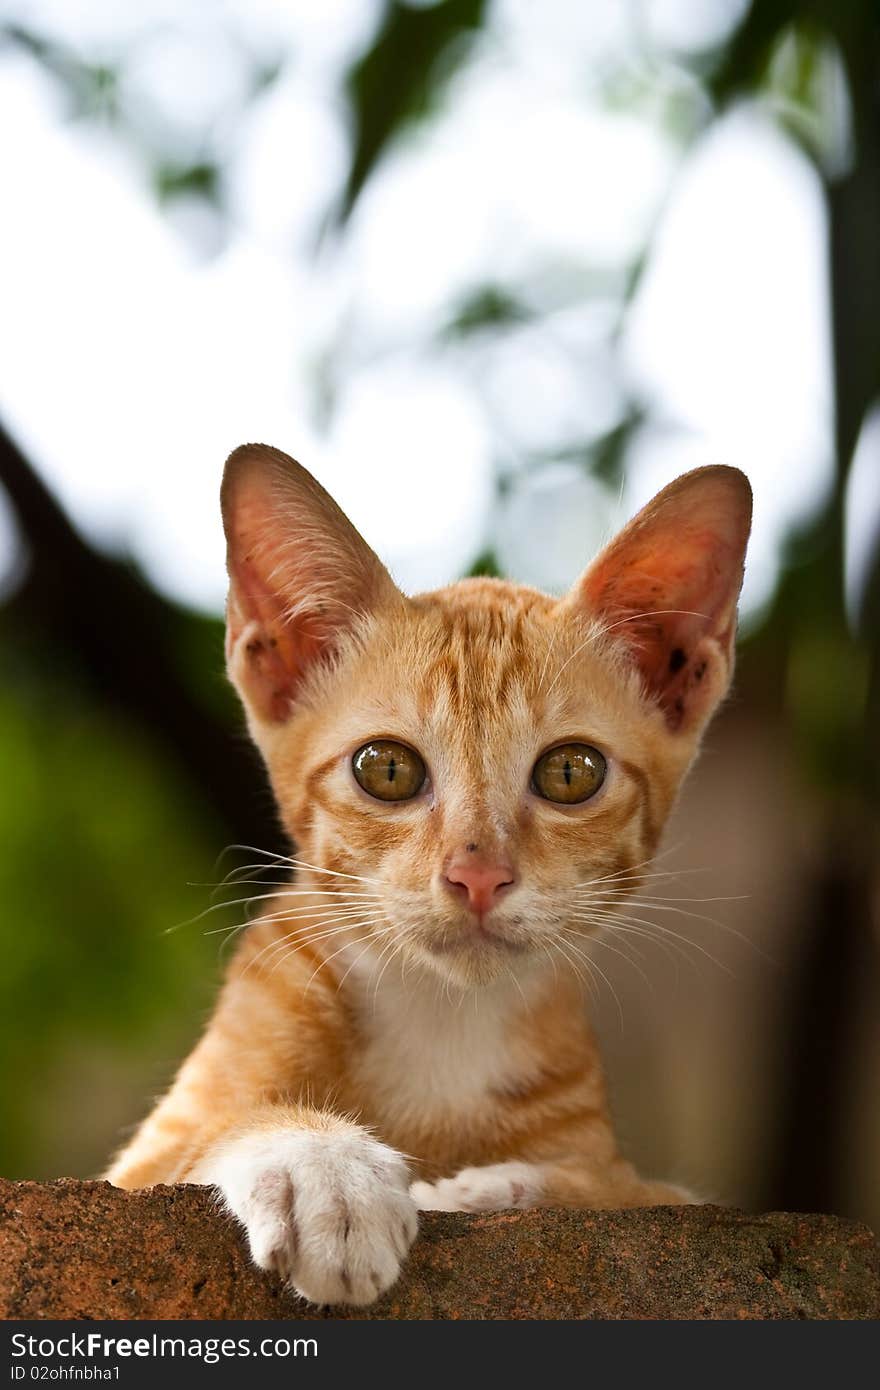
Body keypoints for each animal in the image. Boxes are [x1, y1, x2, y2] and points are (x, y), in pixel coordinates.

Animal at [102, 444, 750, 1301]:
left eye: (570, 773)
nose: (477, 876)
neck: (443, 1017)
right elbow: (223, 1123)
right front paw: (325, 1169)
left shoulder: (654, 1183)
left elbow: (634, 1188)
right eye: (387, 769)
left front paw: (492, 1185)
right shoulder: (142, 1159)